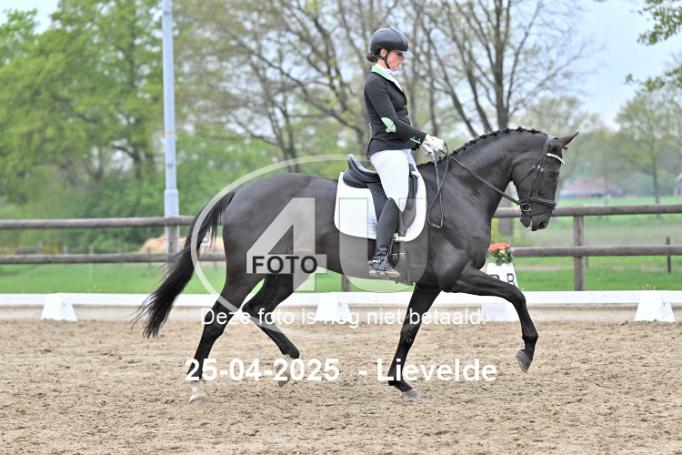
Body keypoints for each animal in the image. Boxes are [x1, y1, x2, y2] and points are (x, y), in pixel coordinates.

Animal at [137, 127, 578, 401]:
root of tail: (240, 192)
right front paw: (526, 352)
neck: (460, 191)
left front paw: (400, 383)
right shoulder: (456, 277)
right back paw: (197, 385)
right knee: (218, 318)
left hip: (289, 270)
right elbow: (515, 294)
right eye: (550, 170)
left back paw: (288, 363)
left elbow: (409, 330)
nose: (540, 220)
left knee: (258, 309)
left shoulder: (431, 282)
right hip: (247, 270)